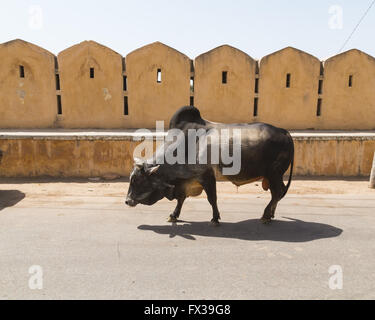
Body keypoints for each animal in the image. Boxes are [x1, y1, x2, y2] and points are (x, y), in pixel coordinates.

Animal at [128, 106, 296, 224]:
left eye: (138, 180)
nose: (127, 201)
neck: (184, 145)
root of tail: (284, 132)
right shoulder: (186, 181)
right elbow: (181, 199)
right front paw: (173, 215)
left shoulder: (207, 176)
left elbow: (212, 198)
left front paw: (215, 218)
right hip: (275, 176)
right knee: (278, 193)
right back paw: (271, 214)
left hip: (274, 174)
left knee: (277, 193)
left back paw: (266, 215)